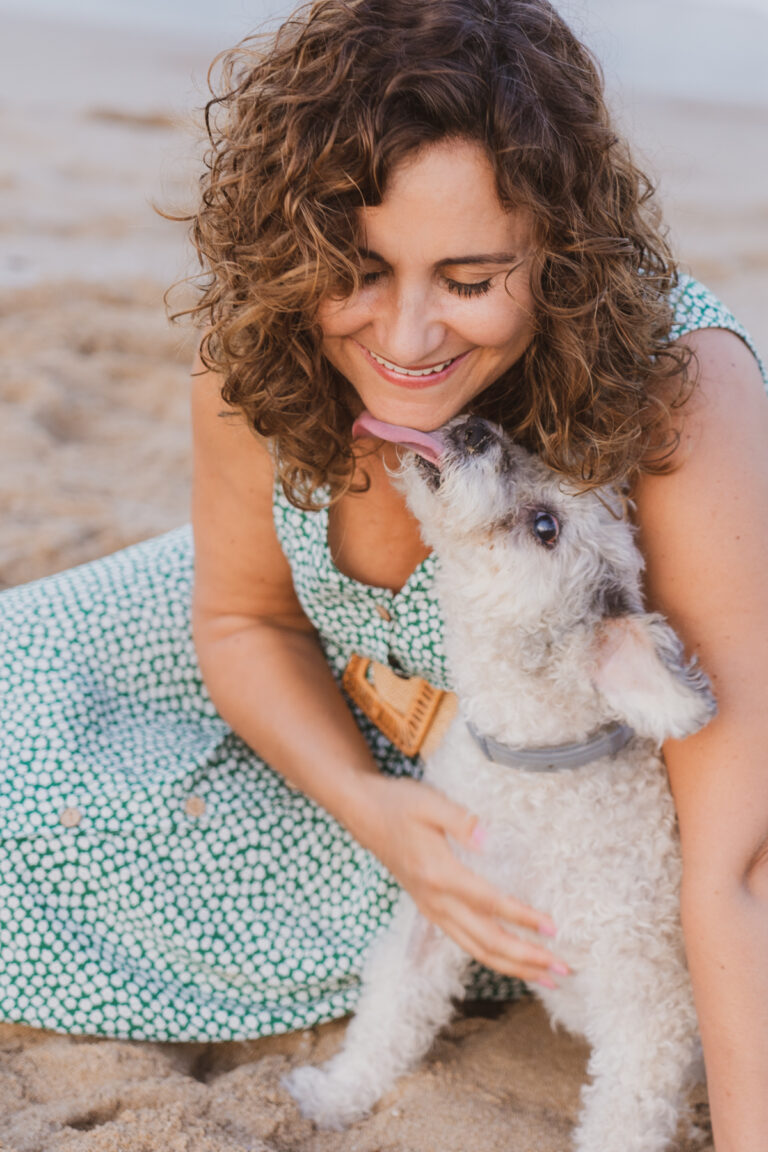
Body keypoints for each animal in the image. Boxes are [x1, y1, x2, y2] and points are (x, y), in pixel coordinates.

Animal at [285, 414, 718, 1152]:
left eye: (546, 527)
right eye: (535, 448)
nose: (473, 427)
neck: (530, 772)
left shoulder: (648, 1011)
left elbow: (624, 1118)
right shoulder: (442, 903)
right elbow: (390, 1014)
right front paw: (336, 1094)